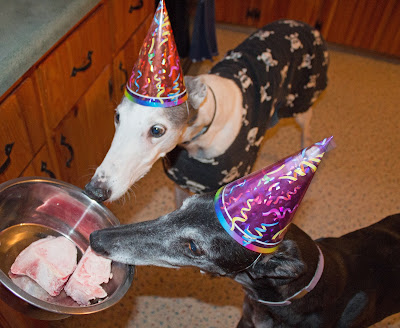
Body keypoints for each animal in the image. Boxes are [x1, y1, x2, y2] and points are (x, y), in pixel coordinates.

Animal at [84, 19, 328, 202]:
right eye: (117, 117)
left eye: (156, 130)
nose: (95, 191)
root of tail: (304, 24)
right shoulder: (182, 183)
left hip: (302, 101)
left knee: (307, 127)